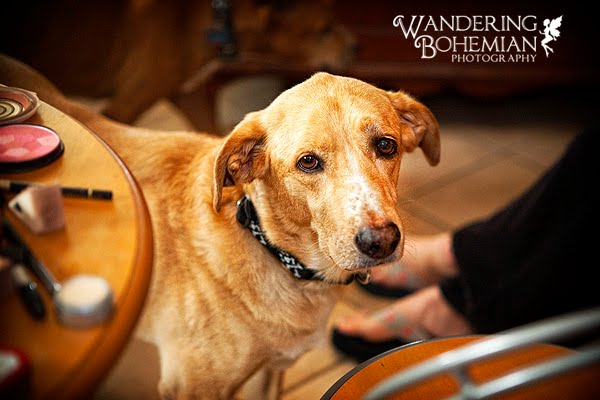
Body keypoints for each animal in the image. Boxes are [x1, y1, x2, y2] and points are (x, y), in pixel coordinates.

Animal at [0, 54, 440, 399]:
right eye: (308, 162)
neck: (272, 249)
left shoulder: (270, 374)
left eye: (386, 145)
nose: (380, 241)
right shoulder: (194, 389)